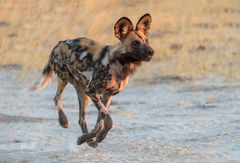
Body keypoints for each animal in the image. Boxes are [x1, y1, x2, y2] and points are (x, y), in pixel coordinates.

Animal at [30, 13, 154, 148]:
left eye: (147, 41)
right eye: (135, 43)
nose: (151, 51)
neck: (121, 64)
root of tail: (59, 44)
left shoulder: (107, 95)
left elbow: (100, 123)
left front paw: (90, 139)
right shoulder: (93, 91)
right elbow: (108, 121)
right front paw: (96, 137)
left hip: (82, 92)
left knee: (81, 119)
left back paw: (87, 140)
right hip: (65, 78)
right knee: (56, 97)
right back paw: (63, 120)